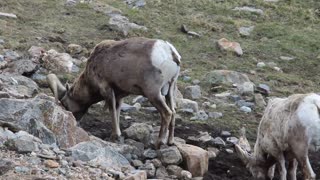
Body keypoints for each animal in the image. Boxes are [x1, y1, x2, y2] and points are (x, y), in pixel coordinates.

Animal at [47, 37, 182, 148]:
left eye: (65, 104)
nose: (74, 120)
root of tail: (170, 52)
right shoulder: (119, 96)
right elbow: (116, 112)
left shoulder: (107, 91)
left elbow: (112, 112)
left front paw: (114, 136)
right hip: (170, 91)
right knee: (173, 112)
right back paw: (170, 142)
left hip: (153, 93)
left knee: (167, 113)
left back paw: (159, 143)